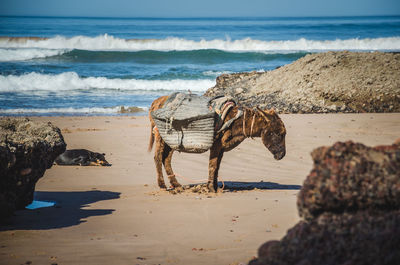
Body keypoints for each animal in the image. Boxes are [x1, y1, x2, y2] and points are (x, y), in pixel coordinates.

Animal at [148, 96, 286, 191]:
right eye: (278, 133)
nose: (282, 155)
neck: (235, 121)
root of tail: (156, 102)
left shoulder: (221, 148)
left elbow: (217, 167)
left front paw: (215, 186)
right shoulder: (216, 145)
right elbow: (213, 165)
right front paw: (210, 188)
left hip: (170, 141)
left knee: (166, 159)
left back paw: (176, 185)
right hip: (161, 137)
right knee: (158, 157)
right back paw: (162, 185)